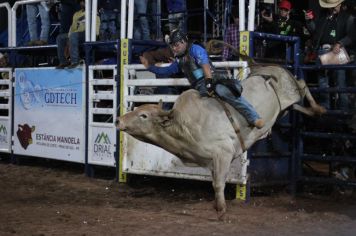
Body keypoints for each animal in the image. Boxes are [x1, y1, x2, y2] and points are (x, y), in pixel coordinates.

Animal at [116, 65, 326, 219]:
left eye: (143, 115)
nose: (118, 120)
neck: (182, 128)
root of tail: (272, 68)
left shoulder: (223, 153)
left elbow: (218, 183)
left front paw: (221, 209)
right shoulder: (211, 161)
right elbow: (214, 182)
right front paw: (217, 205)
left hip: (292, 91)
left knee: (303, 84)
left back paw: (318, 108)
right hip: (285, 107)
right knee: (297, 103)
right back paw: (312, 111)